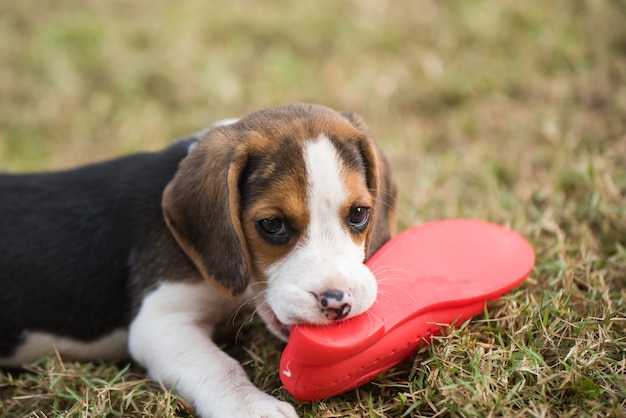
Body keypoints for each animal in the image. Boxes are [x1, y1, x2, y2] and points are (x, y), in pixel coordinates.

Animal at [0, 103, 394, 416]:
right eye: (272, 224)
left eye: (359, 213)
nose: (338, 302)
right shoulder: (160, 322)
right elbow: (221, 367)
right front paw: (252, 407)